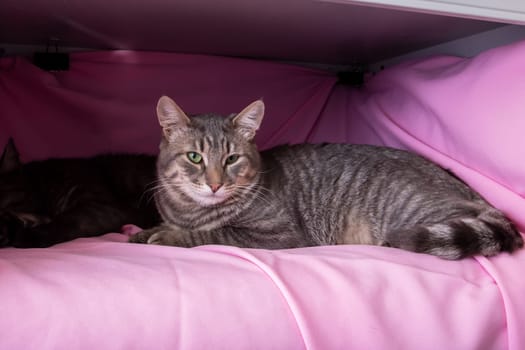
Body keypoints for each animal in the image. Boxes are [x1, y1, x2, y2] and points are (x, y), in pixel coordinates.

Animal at [128, 95, 524, 260]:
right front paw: (145, 232)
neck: (189, 210)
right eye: (195, 157)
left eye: (231, 159)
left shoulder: (278, 234)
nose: (214, 183)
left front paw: (170, 236)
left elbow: (214, 233)